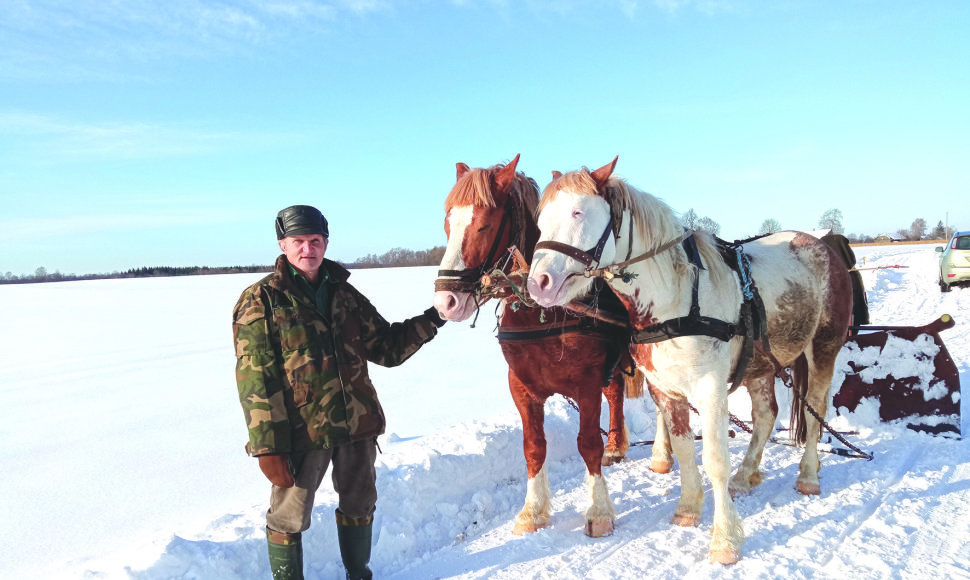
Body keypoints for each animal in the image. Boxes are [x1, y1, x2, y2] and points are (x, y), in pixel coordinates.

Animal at [432, 155, 636, 540]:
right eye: (449, 222)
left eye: (485, 225)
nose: (445, 302)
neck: (541, 312)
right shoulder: (522, 386)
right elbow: (533, 446)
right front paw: (533, 510)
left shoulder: (587, 381)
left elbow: (588, 443)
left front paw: (599, 510)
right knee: (617, 391)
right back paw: (617, 445)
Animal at [524, 156, 852, 564]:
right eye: (540, 220)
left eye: (577, 211)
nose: (538, 283)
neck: (674, 301)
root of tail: (822, 245)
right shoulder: (665, 389)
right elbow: (683, 450)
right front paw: (688, 508)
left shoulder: (710, 390)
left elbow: (714, 460)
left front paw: (725, 539)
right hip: (761, 363)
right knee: (766, 416)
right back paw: (746, 475)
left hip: (823, 348)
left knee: (814, 410)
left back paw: (807, 475)